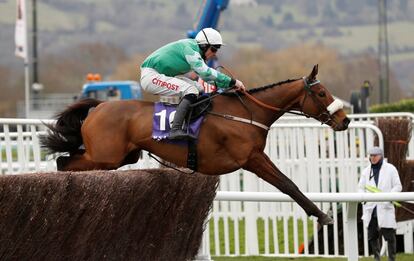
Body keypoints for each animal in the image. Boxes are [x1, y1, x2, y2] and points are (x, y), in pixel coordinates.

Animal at [41, 64, 350, 224]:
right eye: (322, 93)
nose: (345, 120)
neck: (247, 112)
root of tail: (100, 106)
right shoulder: (252, 158)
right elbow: (288, 184)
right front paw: (322, 215)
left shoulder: (255, 156)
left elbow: (288, 183)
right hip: (105, 156)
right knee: (64, 162)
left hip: (122, 157)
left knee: (68, 162)